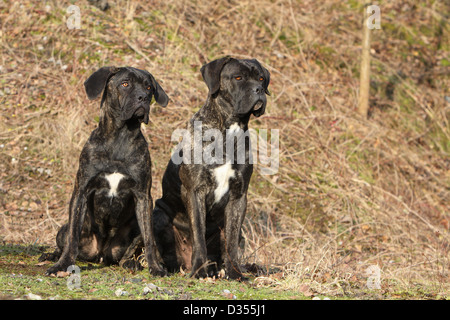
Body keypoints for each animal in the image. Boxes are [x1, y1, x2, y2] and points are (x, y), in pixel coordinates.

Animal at [43, 66, 169, 276]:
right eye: (125, 84)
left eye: (149, 87)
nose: (143, 97)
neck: (120, 137)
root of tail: (101, 254)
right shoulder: (81, 192)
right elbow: (72, 239)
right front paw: (62, 265)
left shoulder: (143, 197)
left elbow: (150, 240)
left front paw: (156, 267)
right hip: (63, 229)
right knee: (67, 239)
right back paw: (51, 256)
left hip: (135, 228)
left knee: (129, 251)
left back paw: (131, 263)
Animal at [153, 58, 268, 280]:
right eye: (238, 77)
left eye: (260, 79)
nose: (259, 90)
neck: (229, 130)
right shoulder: (195, 192)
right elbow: (198, 233)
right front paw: (199, 270)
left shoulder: (238, 196)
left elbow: (231, 242)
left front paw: (235, 273)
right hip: (159, 215)